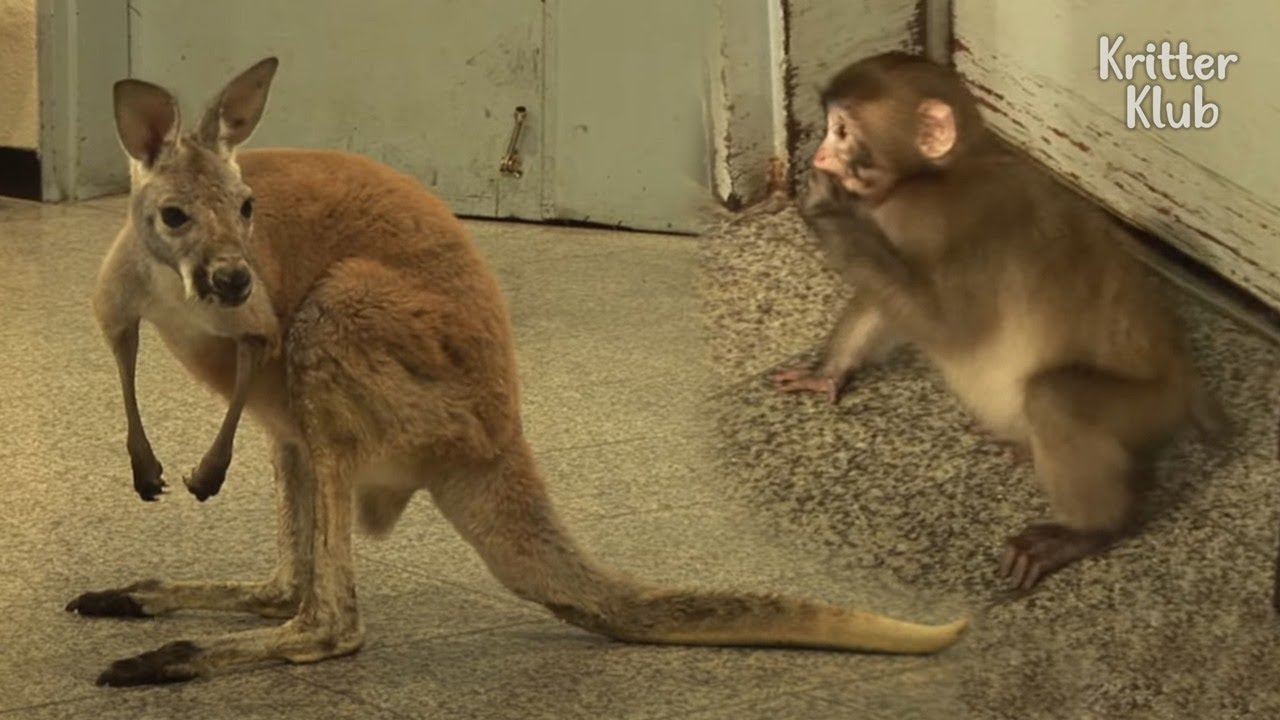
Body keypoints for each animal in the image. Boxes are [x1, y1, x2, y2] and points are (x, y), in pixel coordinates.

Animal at [63, 57, 970, 687]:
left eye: (249, 209)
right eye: (175, 215)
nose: (232, 279)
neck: (184, 290)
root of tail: (499, 438)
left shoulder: (266, 312)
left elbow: (243, 350)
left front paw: (194, 476)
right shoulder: (119, 294)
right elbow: (123, 361)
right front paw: (153, 470)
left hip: (343, 325)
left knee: (332, 621)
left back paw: (169, 656)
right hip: (301, 421)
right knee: (290, 579)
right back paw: (138, 600)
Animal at [770, 51, 1225, 591]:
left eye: (841, 131)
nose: (820, 158)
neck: (945, 172)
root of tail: (1184, 380)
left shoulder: (938, 218)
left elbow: (951, 328)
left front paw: (825, 206)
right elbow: (889, 302)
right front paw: (826, 374)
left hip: (1148, 409)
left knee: (1055, 397)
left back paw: (1092, 530)